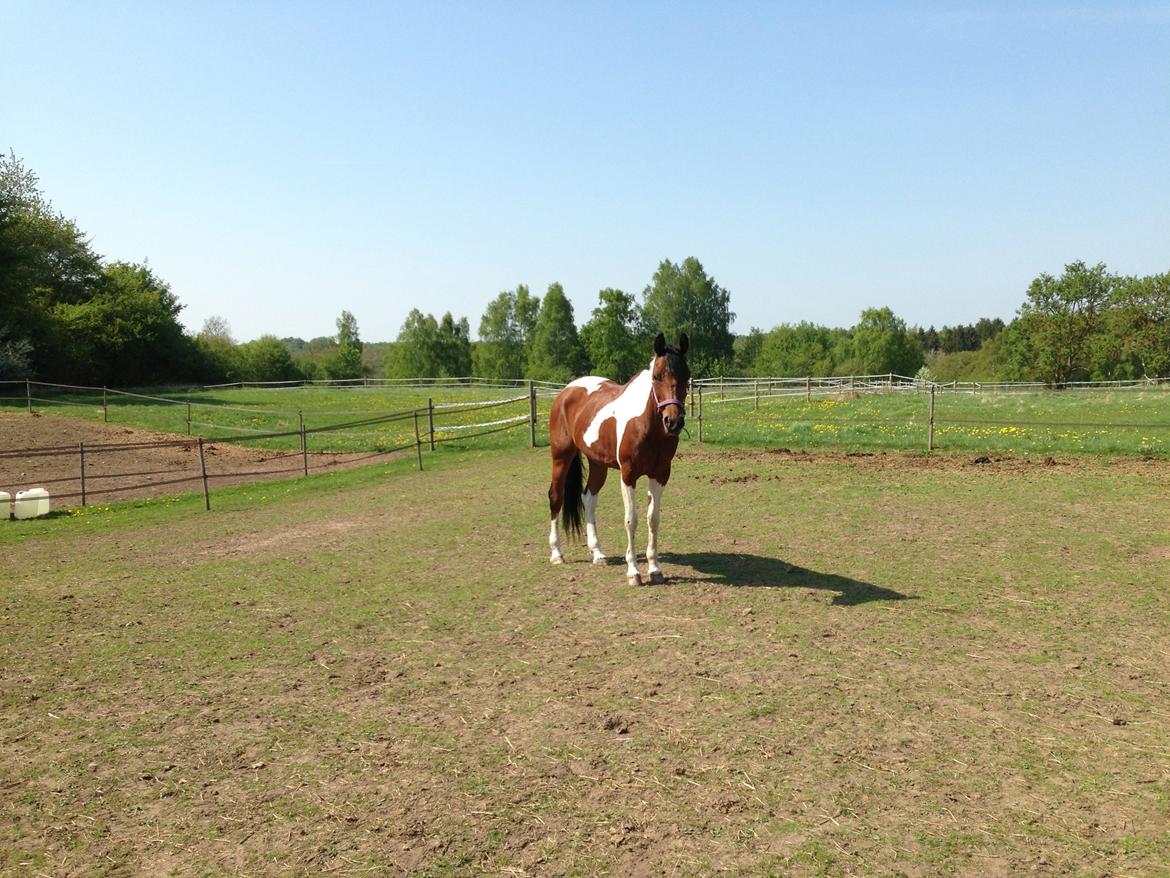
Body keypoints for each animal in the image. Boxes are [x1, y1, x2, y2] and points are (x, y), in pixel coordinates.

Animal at [547, 332, 690, 586]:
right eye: (656, 377)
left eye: (687, 376)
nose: (673, 421)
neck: (646, 424)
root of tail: (566, 392)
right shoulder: (628, 474)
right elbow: (631, 519)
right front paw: (633, 572)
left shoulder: (661, 474)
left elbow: (653, 519)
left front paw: (655, 569)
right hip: (561, 457)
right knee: (556, 497)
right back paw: (556, 554)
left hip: (597, 465)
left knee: (588, 498)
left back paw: (597, 553)